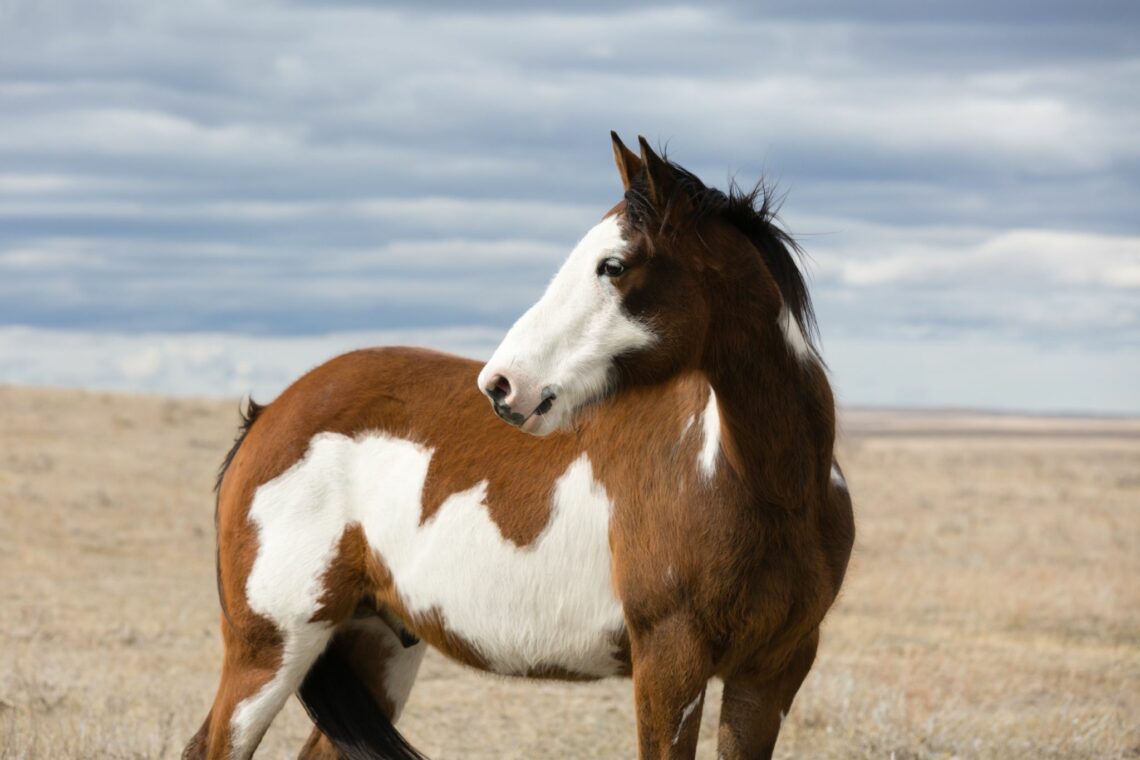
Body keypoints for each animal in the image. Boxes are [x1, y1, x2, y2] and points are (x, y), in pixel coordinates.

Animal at [182, 133, 854, 760]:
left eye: (612, 265)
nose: (501, 385)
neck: (763, 486)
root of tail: (270, 414)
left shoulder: (770, 673)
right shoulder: (670, 662)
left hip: (374, 641)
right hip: (271, 649)